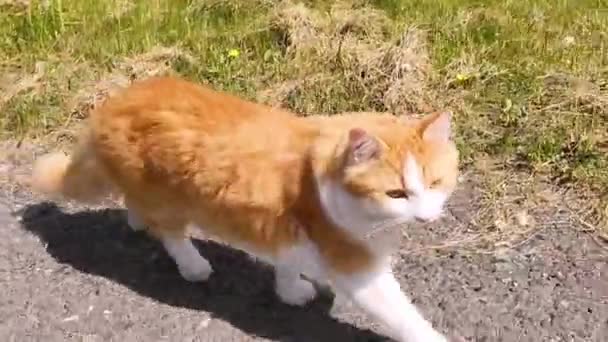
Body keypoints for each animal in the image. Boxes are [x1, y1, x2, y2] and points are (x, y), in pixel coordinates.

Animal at [30, 76, 458, 340]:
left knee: (138, 206)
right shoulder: (358, 269)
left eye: (435, 184)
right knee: (171, 233)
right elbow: (404, 316)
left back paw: (136, 220)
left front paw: (290, 290)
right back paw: (192, 264)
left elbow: (287, 262)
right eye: (396, 194)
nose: (426, 217)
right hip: (167, 197)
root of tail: (112, 103)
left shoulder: (285, 230)